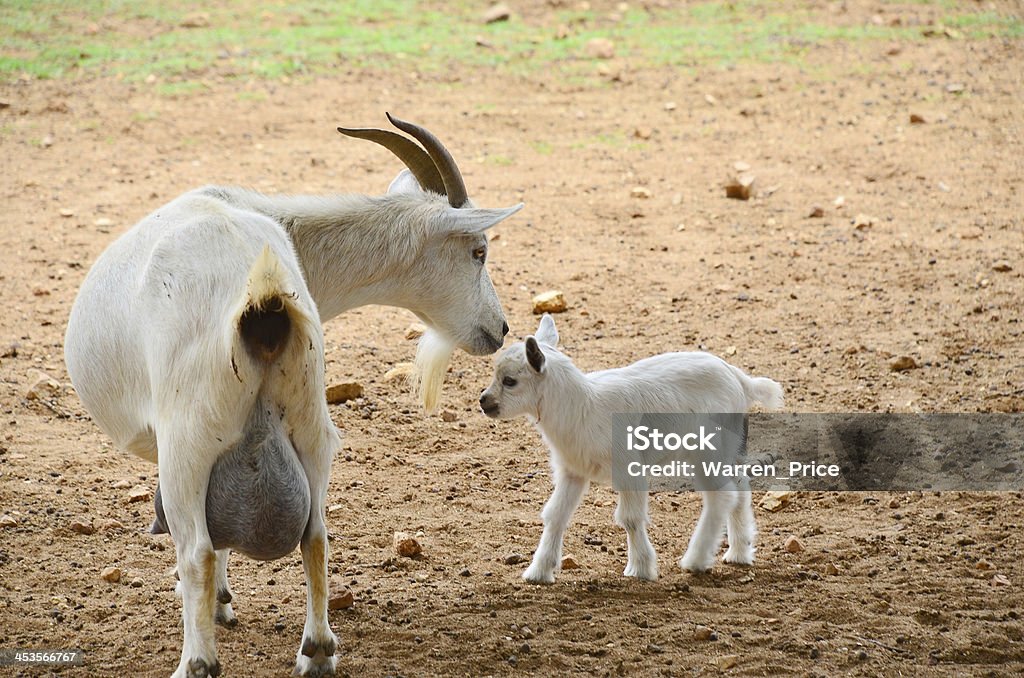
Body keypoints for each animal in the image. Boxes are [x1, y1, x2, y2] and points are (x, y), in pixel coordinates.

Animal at [64, 116, 520, 678]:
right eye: (478, 251)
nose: (500, 329)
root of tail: (262, 297)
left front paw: (219, 604)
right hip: (312, 424)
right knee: (316, 534)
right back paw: (317, 650)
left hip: (186, 445)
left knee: (196, 551)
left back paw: (197, 660)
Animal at [479, 315, 782, 585]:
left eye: (510, 381)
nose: (484, 401)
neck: (584, 406)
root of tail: (738, 378)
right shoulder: (573, 470)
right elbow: (555, 514)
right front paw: (539, 572)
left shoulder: (628, 467)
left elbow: (630, 518)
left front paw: (641, 568)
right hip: (730, 446)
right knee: (740, 487)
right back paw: (739, 552)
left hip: (709, 449)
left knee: (722, 496)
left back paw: (695, 560)